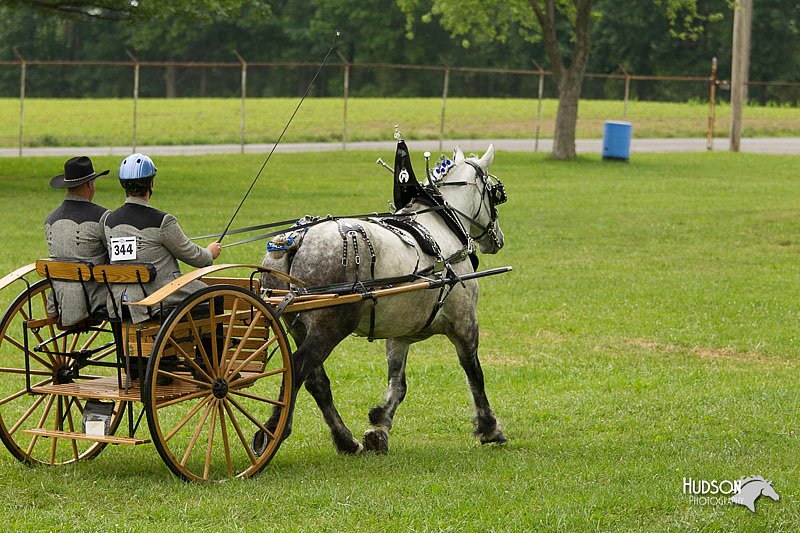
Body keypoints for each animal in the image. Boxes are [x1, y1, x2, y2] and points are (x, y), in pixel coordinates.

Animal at [256, 143, 506, 450]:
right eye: (495, 194)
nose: (497, 239)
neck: (440, 225)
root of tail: (296, 239)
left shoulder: (400, 334)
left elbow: (397, 384)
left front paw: (380, 426)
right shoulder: (465, 323)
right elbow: (474, 374)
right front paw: (489, 427)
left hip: (297, 326)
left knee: (316, 380)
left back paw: (345, 440)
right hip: (330, 326)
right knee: (298, 367)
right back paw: (272, 431)